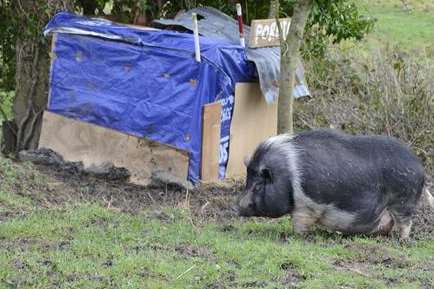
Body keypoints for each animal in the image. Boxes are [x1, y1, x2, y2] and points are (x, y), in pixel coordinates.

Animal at [237, 128, 428, 238]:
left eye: (258, 185)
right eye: (247, 181)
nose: (238, 207)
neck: (288, 175)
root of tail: (420, 167)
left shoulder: (308, 205)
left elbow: (299, 223)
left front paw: (294, 236)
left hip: (404, 200)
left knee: (405, 223)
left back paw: (402, 240)